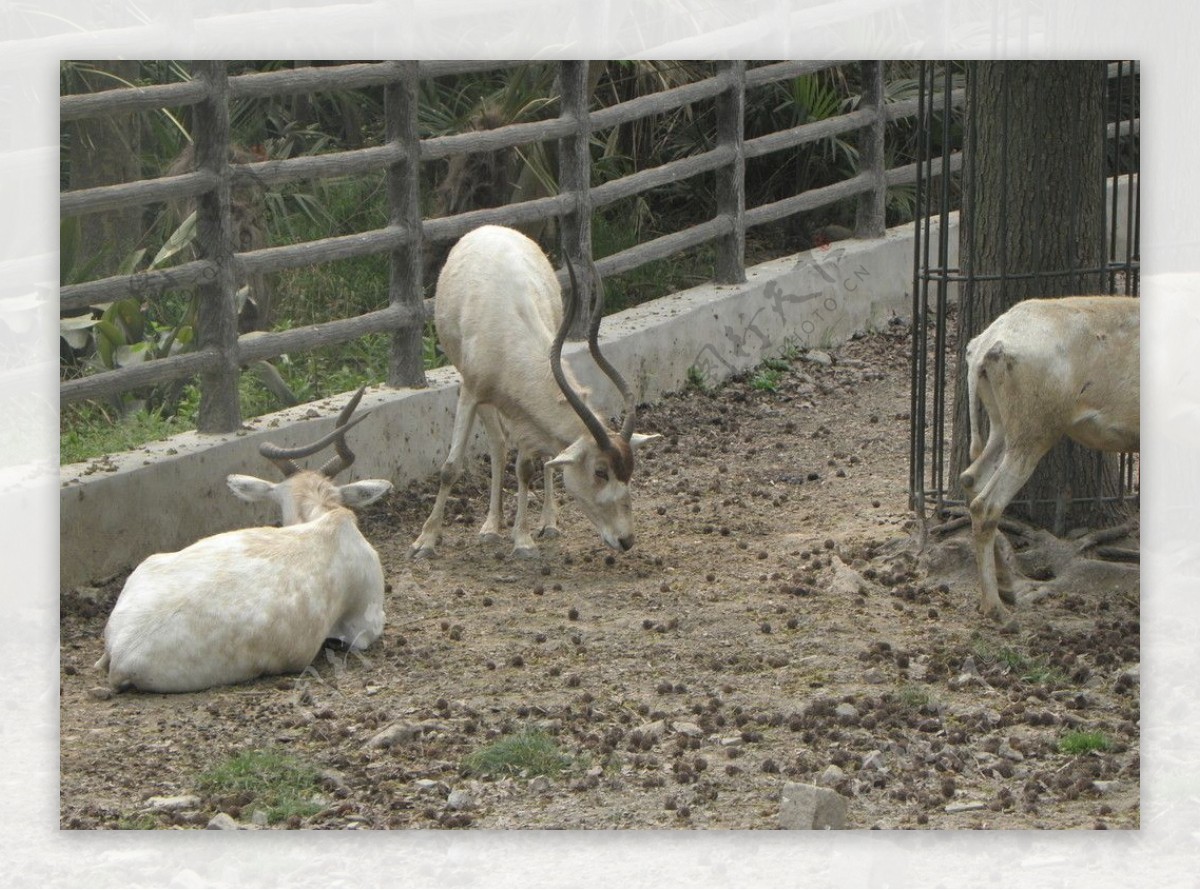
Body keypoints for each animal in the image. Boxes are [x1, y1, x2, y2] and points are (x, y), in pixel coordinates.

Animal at [410, 224, 657, 556]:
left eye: (628, 472)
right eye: (600, 471)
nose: (626, 540)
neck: (509, 328)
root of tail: (491, 227)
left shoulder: (524, 410)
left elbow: (527, 468)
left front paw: (523, 539)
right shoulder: (472, 392)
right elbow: (450, 467)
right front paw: (425, 540)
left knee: (547, 457)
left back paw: (548, 523)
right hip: (477, 388)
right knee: (498, 445)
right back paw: (490, 527)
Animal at [960, 297, 1137, 618]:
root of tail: (983, 347)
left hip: (1002, 425)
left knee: (972, 478)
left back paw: (1006, 587)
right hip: (1034, 430)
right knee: (987, 503)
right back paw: (996, 608)